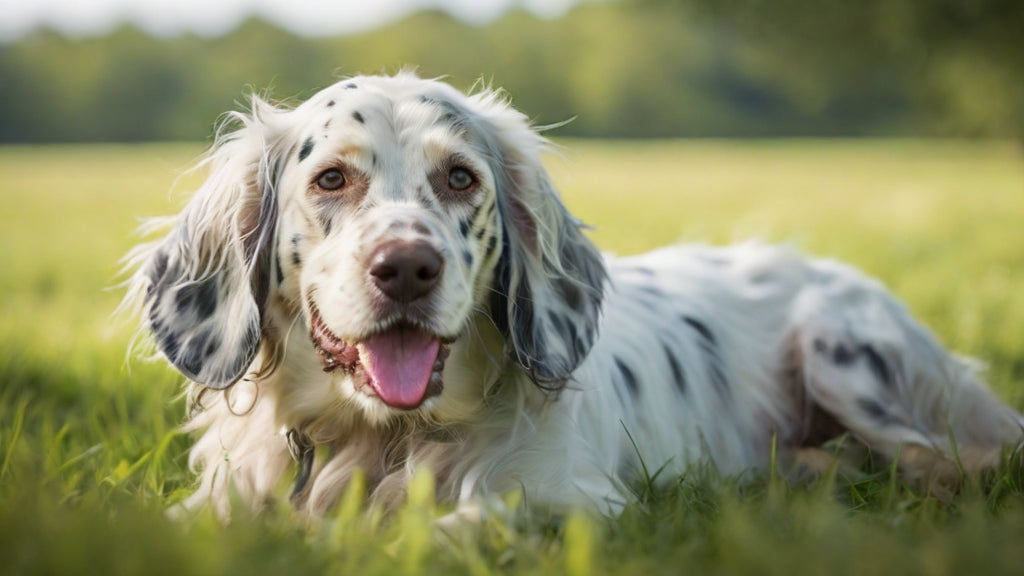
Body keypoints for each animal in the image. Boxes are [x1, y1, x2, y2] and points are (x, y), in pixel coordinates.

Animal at [125, 72, 1024, 520]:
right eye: (331, 179)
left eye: (462, 178)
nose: (408, 268)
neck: (384, 443)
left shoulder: (571, 499)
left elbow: (469, 523)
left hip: (841, 347)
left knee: (952, 459)